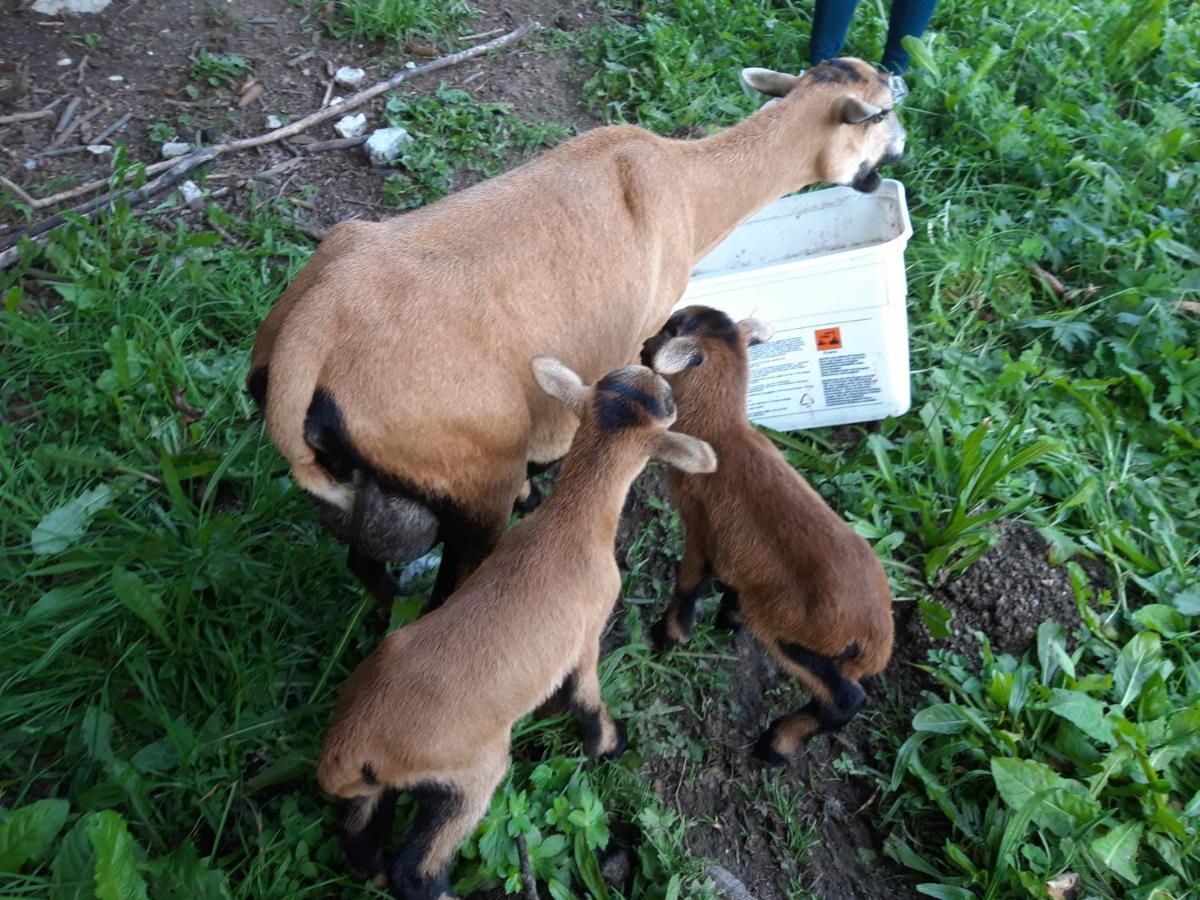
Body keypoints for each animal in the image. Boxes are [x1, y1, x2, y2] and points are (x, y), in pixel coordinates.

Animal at [243, 56, 902, 609]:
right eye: (883, 112)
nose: (897, 151)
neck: (692, 187)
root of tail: (309, 332)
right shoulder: (639, 333)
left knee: (369, 567)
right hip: (470, 473)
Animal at [314, 357, 715, 897]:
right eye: (668, 404)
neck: (571, 521)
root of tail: (347, 750)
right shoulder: (586, 636)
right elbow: (586, 698)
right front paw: (611, 744)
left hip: (377, 786)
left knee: (358, 833)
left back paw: (368, 869)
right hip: (470, 775)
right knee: (418, 870)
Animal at [648, 307, 892, 763]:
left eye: (671, 328)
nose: (642, 344)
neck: (720, 431)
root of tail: (875, 636)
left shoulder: (700, 528)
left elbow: (689, 581)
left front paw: (669, 636)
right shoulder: (735, 547)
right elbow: (732, 580)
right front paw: (728, 620)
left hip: (794, 635)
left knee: (845, 700)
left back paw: (776, 746)